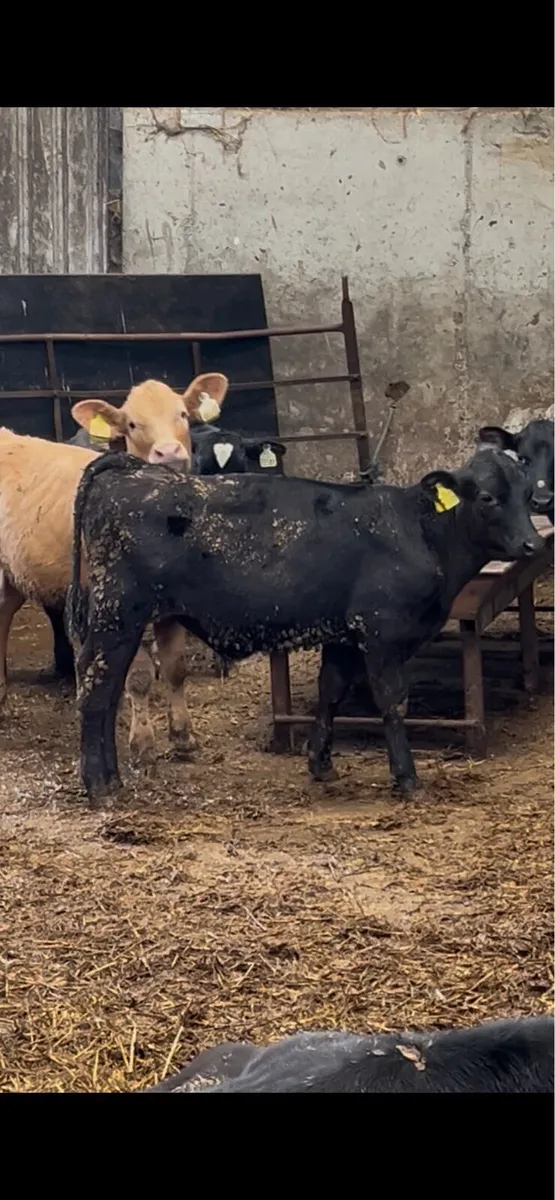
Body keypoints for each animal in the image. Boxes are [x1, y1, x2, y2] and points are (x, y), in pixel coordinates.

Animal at [0, 373, 227, 765]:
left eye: (183, 414)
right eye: (132, 424)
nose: (170, 454)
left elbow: (176, 667)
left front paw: (183, 736)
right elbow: (139, 674)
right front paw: (143, 747)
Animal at [67, 443, 546, 801]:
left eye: (527, 495)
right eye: (487, 497)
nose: (532, 544)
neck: (421, 532)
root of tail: (131, 470)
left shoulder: (343, 636)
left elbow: (330, 692)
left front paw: (321, 762)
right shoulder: (382, 634)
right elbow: (392, 702)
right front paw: (407, 778)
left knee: (105, 691)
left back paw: (110, 778)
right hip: (118, 617)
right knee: (96, 693)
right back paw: (100, 786)